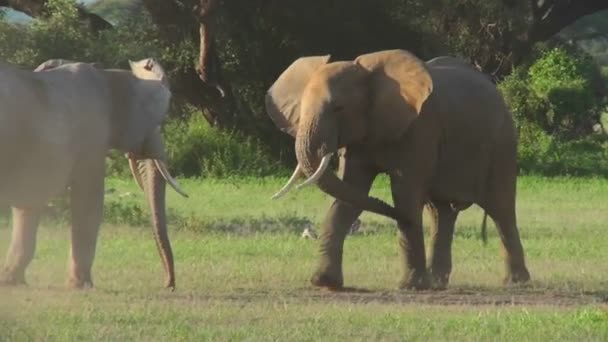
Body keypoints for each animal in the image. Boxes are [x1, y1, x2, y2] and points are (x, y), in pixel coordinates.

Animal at [0, 57, 188, 290]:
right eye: (158, 123)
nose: (168, 285)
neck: (109, 75)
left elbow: (30, 201)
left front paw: (11, 282)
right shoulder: (92, 135)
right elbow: (89, 199)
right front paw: (82, 286)